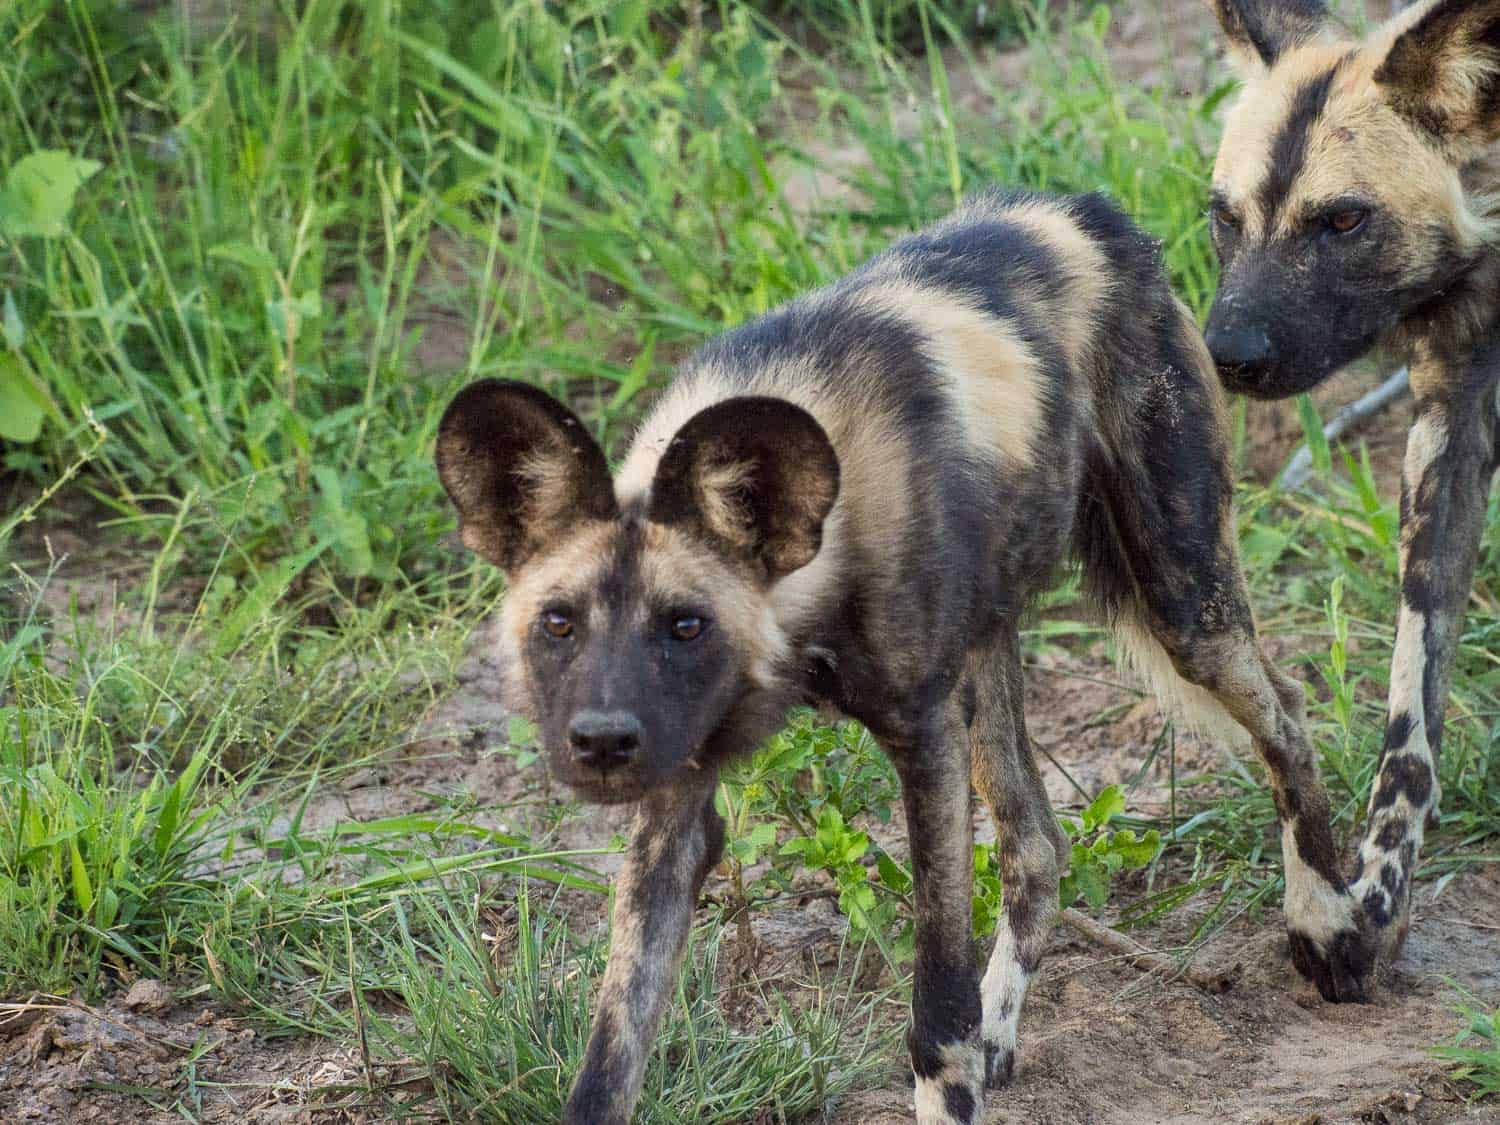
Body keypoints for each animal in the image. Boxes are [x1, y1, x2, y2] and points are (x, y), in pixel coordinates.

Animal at [438, 189, 1350, 1122]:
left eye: (686, 625)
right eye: (558, 624)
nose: (600, 741)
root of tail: (1095, 214)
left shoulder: (925, 741)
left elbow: (937, 1010)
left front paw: (951, 1080)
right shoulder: (679, 794)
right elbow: (610, 1053)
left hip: (1183, 604)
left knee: (1286, 717)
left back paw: (1329, 926)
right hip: (990, 661)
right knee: (1036, 842)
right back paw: (1003, 1024)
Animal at [1200, 0, 1500, 1002]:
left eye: (1342, 220)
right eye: (1223, 218)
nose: (1227, 354)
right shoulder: (1454, 406)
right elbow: (1413, 703)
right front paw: (1369, 904)